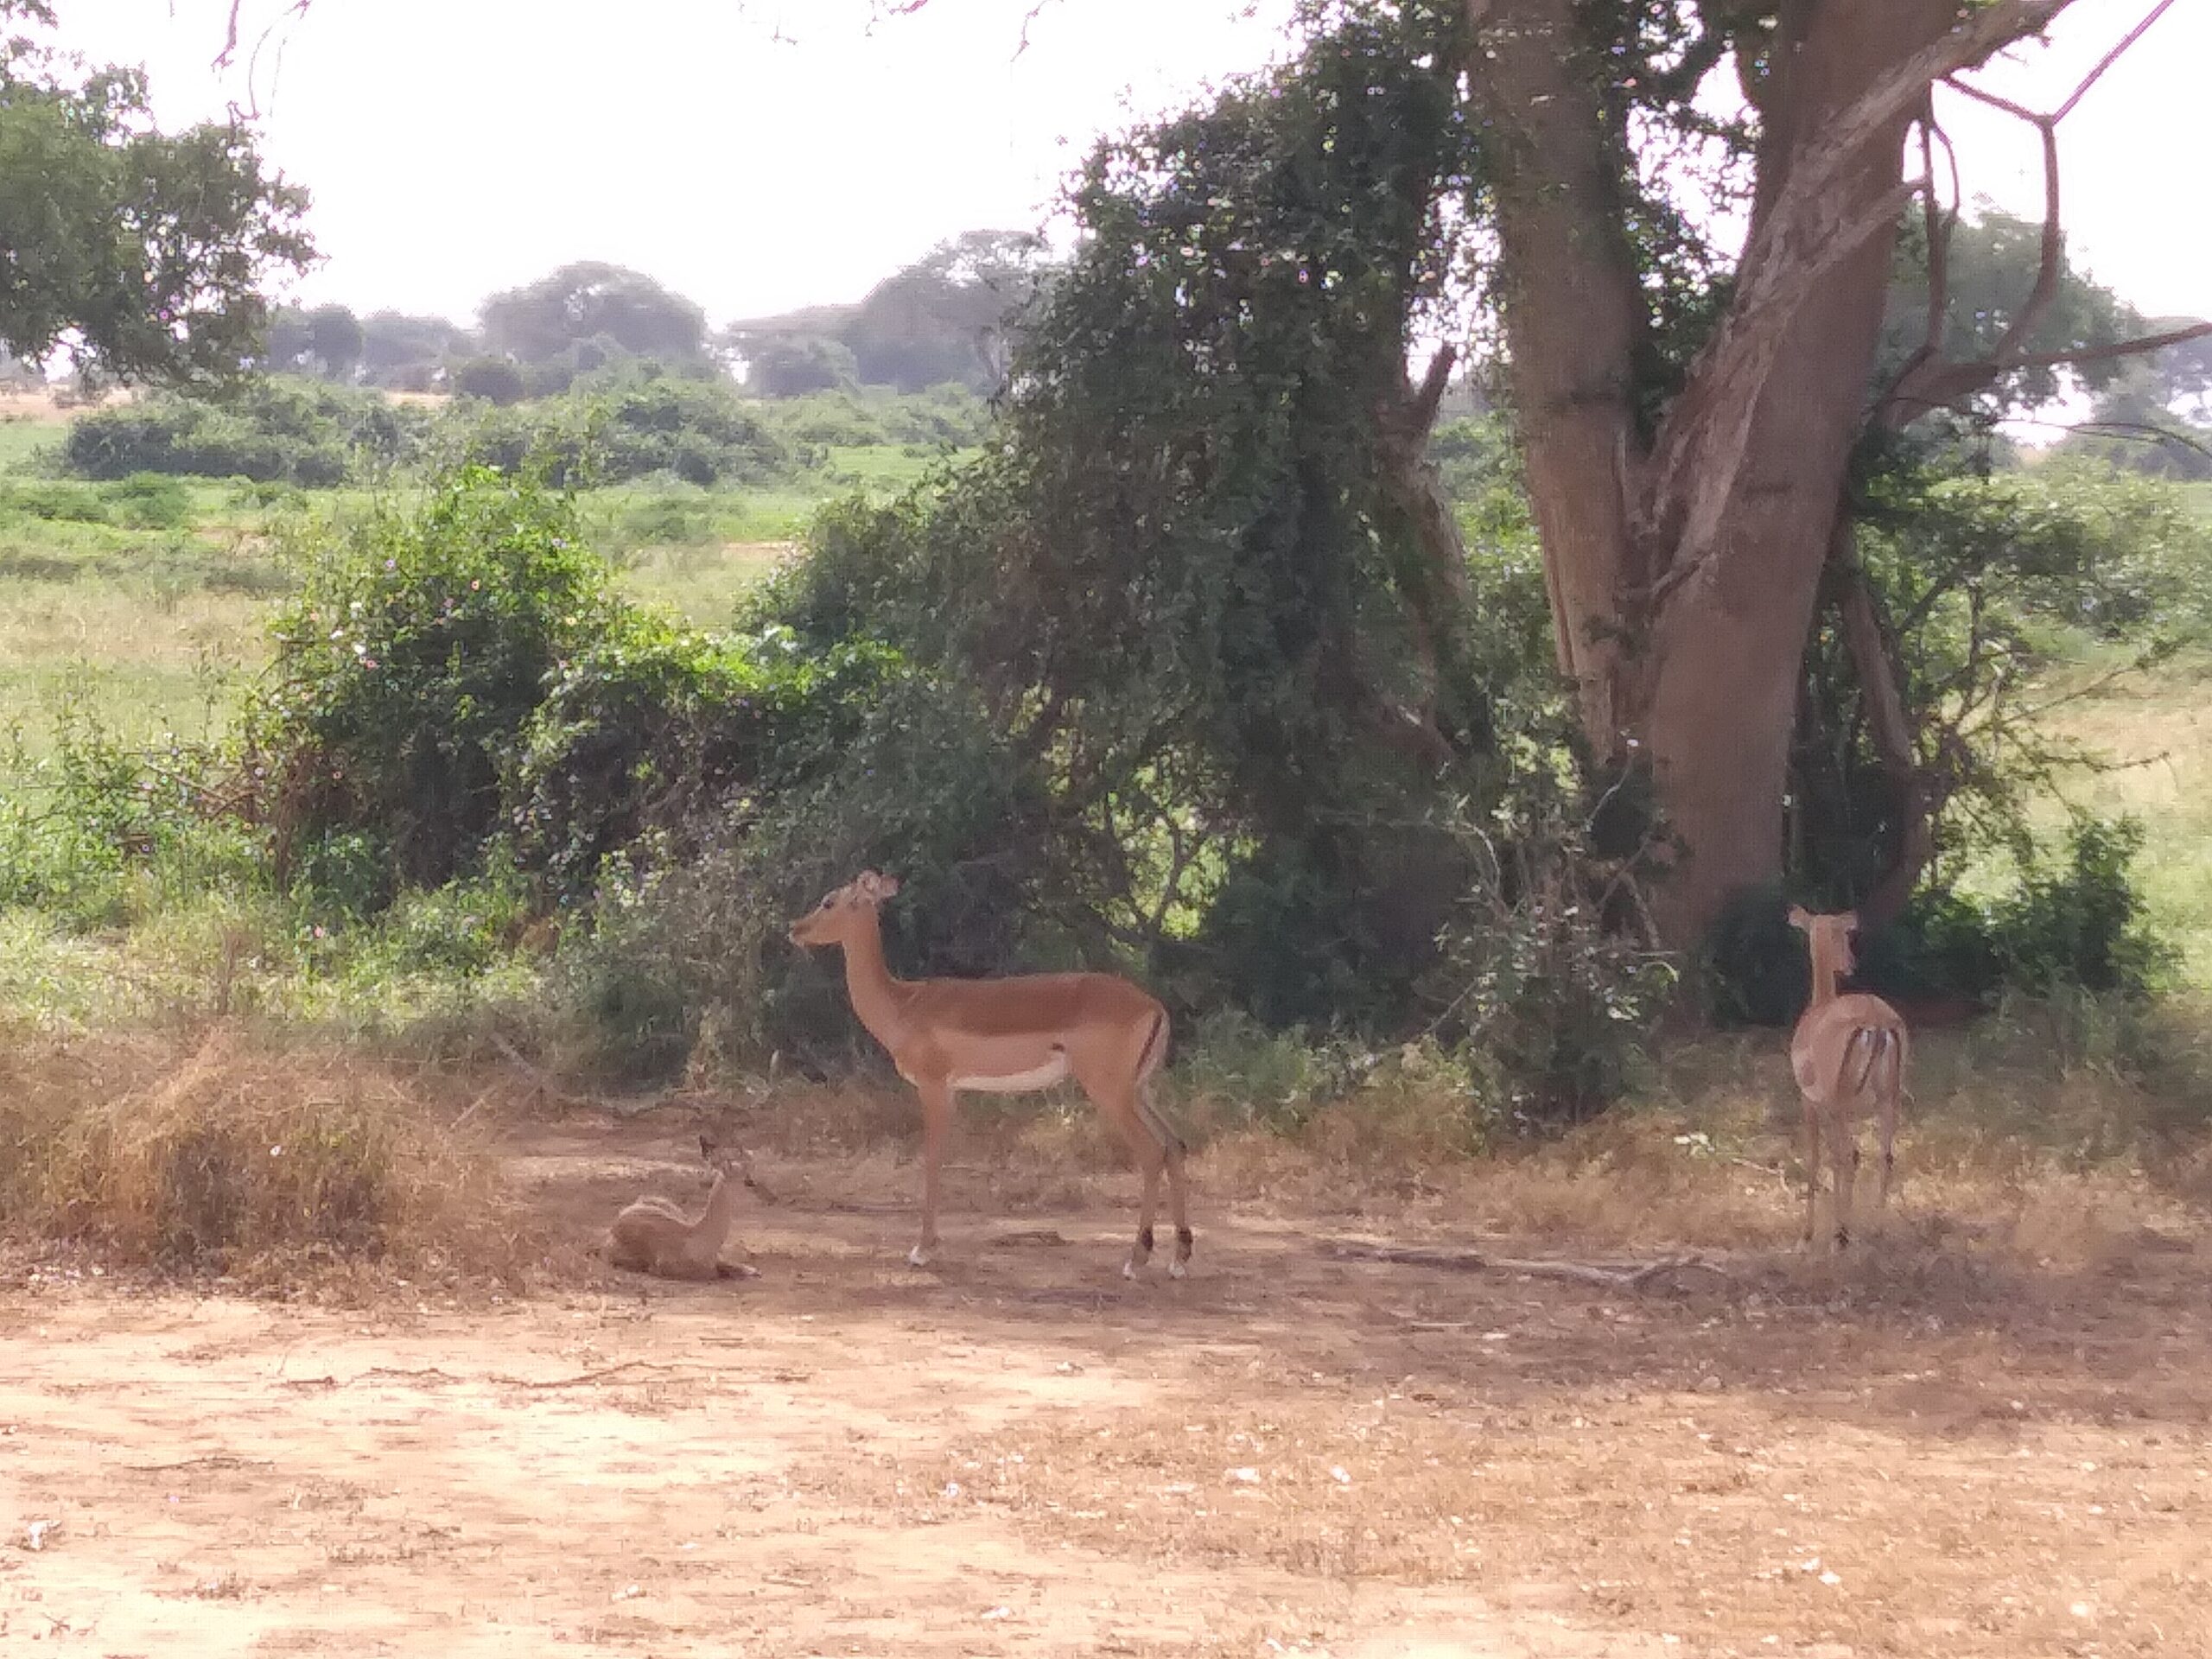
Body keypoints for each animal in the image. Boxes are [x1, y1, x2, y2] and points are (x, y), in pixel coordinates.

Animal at [787, 870, 1192, 1279]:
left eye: (829, 901)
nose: (795, 929)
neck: (904, 1005)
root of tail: (1154, 1006)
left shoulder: (933, 1086)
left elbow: (932, 1158)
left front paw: (921, 1250)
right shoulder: (950, 1090)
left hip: (1110, 1092)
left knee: (1152, 1152)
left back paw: (1135, 1261)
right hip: (1139, 1090)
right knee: (1174, 1145)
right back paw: (1178, 1259)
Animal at [1786, 906, 1909, 1253]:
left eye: (1845, 934)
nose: (1851, 964)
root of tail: (1877, 1022)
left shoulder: (1812, 1103)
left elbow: (1818, 1159)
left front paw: (1808, 1234)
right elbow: (1833, 1159)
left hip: (1843, 1103)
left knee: (1851, 1156)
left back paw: (1842, 1234)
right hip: (1887, 1100)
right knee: (1886, 1155)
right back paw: (1875, 1230)